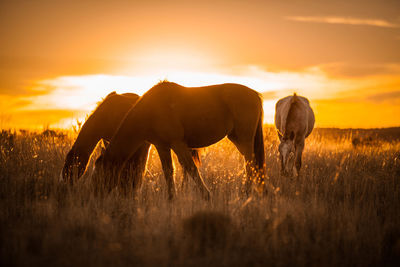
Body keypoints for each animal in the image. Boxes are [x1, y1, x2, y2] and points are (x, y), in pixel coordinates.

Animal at [95, 82, 268, 200]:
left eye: (100, 171)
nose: (96, 193)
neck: (151, 109)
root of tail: (255, 94)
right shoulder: (162, 146)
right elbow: (168, 172)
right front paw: (172, 199)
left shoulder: (178, 144)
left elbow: (190, 168)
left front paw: (207, 196)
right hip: (238, 138)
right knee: (252, 165)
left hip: (244, 139)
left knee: (250, 164)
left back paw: (246, 193)